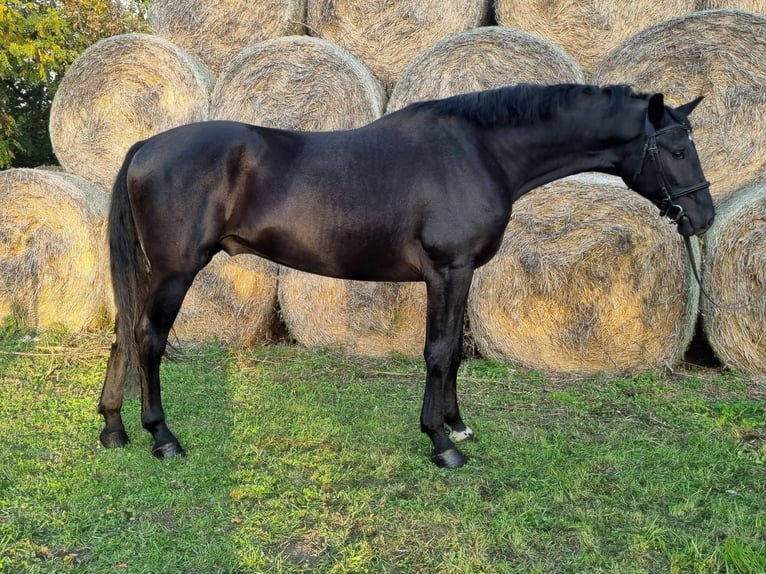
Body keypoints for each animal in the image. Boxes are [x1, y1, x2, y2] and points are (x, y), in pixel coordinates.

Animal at [99, 83, 716, 470]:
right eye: (677, 149)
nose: (704, 216)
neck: (477, 151)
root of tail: (145, 146)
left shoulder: (462, 275)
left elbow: (455, 354)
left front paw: (458, 425)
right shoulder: (448, 270)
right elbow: (438, 352)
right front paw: (442, 443)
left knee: (124, 335)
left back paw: (113, 429)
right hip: (176, 271)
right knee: (148, 341)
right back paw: (162, 438)